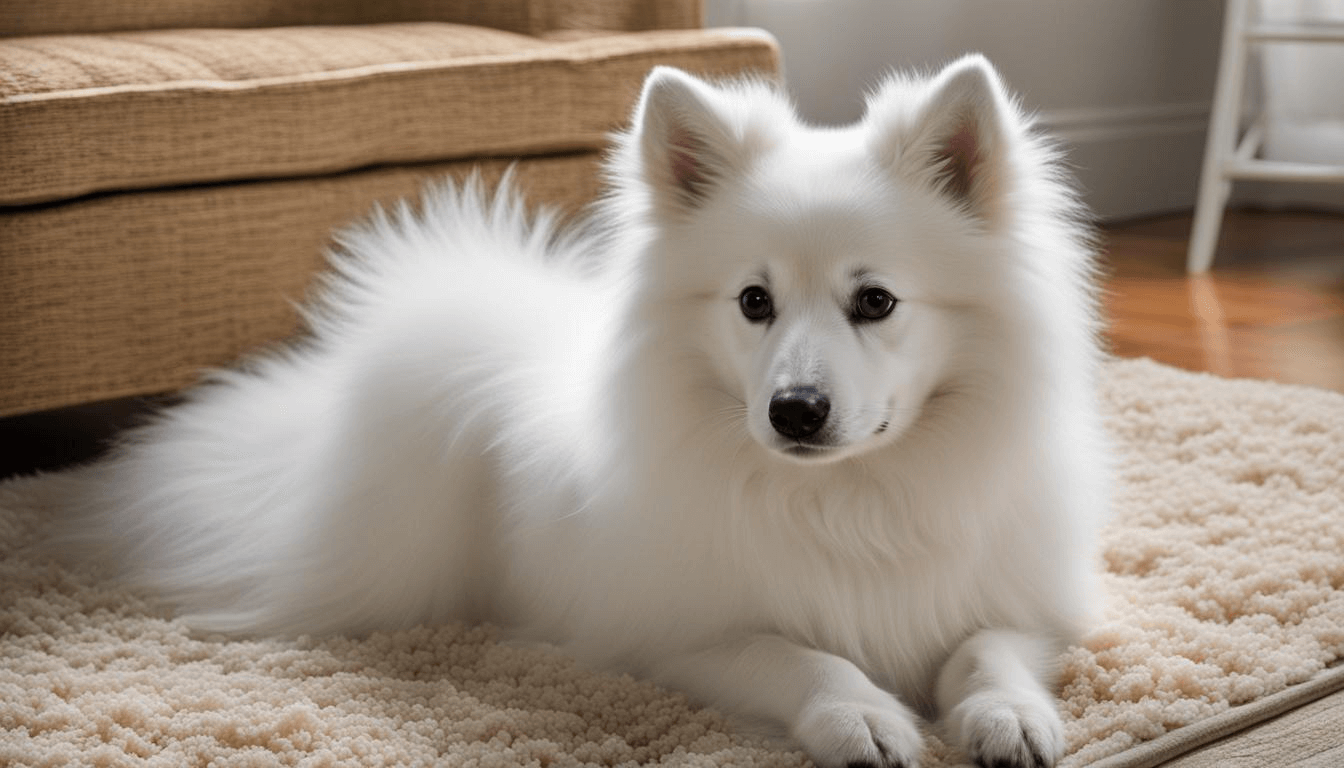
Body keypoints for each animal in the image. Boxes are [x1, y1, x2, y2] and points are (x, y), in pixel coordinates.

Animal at [63, 55, 1107, 768]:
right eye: (753, 301)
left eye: (876, 301)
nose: (795, 411)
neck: (852, 498)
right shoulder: (672, 637)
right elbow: (793, 653)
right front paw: (862, 714)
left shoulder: (1032, 595)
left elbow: (985, 647)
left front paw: (1009, 714)